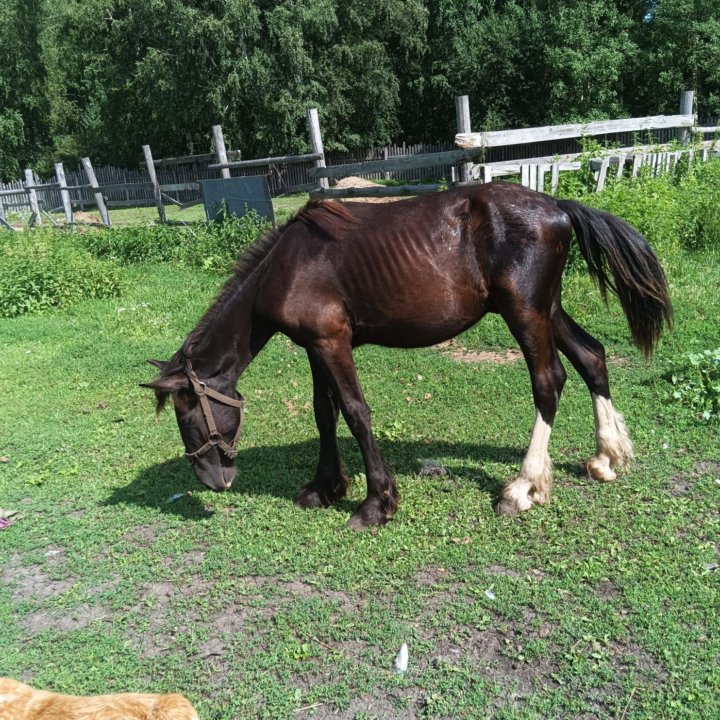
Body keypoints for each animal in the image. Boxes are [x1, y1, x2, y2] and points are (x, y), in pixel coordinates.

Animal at [143, 181, 672, 528]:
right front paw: (325, 487)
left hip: (524, 314)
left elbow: (355, 412)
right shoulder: (315, 345)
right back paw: (606, 457)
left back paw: (523, 488)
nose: (212, 480)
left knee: (549, 382)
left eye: (187, 417)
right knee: (592, 358)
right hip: (548, 309)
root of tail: (557, 205)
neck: (288, 267)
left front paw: (376, 503)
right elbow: (323, 412)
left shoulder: (331, 343)